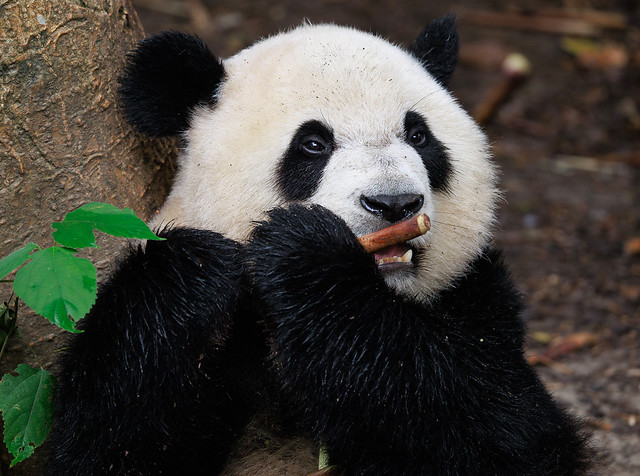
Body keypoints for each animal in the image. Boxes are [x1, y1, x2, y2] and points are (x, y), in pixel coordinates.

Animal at [47, 16, 590, 475]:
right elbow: (109, 439)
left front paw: (306, 254)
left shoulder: (479, 295)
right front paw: (192, 270)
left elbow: (502, 429)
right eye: (313, 144)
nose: (394, 203)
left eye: (419, 135)